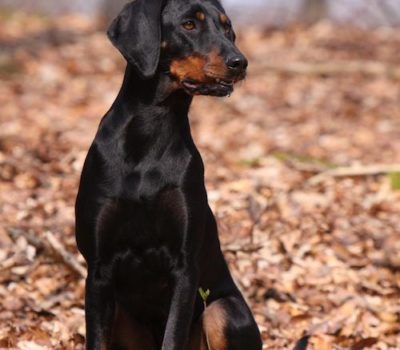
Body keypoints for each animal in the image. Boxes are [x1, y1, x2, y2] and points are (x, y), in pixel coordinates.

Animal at [75, 0, 262, 348]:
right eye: (189, 24)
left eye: (226, 27)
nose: (240, 62)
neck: (152, 127)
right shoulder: (98, 270)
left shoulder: (184, 269)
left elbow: (173, 336)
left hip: (222, 310)